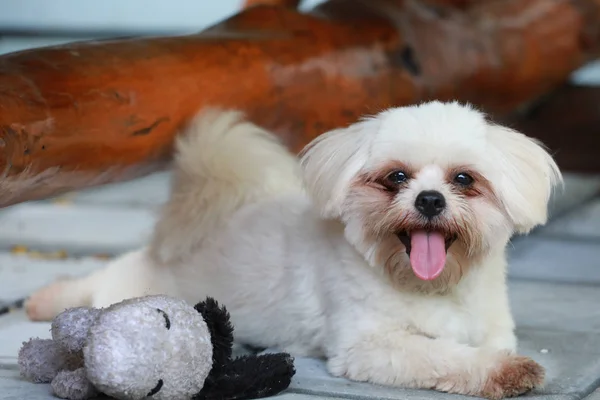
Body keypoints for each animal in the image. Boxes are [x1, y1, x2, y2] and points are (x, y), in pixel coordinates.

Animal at [27, 101, 564, 400]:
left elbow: (481, 347)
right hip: (138, 283)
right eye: (396, 177)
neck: (431, 287)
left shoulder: (493, 328)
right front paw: (504, 372)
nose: (429, 200)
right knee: (98, 284)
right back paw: (46, 299)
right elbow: (444, 356)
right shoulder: (369, 346)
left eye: (464, 179)